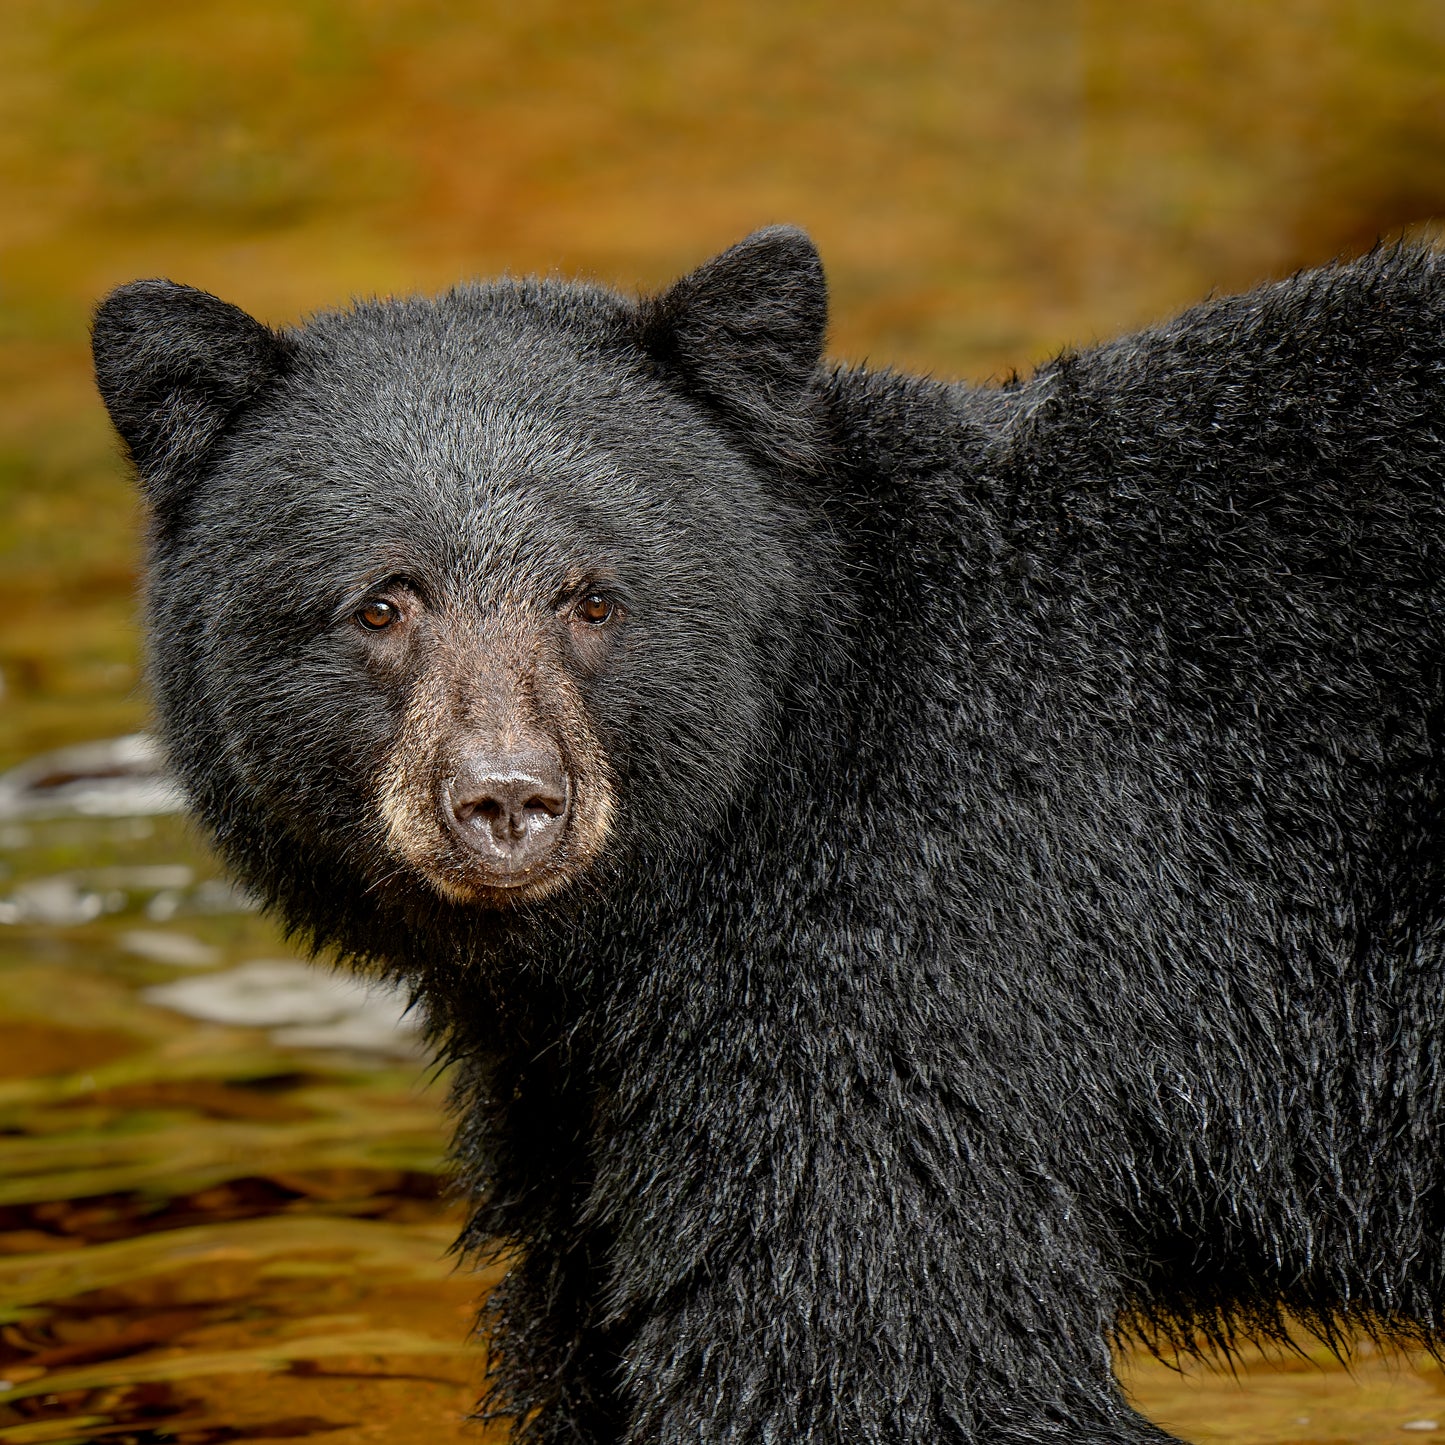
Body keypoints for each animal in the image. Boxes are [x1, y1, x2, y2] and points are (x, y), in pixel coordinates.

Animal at [93, 231, 1445, 1439]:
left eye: (593, 596)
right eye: (382, 602)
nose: (507, 799)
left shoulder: (901, 957)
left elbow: (872, 1352)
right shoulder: (575, 1107)